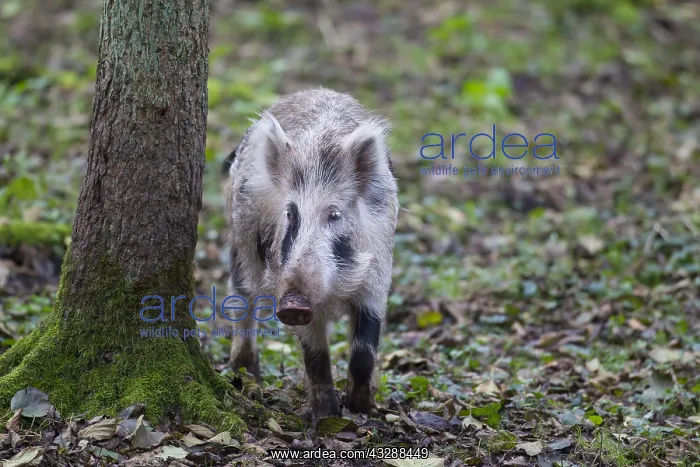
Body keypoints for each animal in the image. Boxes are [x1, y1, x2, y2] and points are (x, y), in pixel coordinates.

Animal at [222, 88, 398, 425]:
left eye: (334, 214)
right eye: (291, 214)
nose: (295, 301)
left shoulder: (377, 279)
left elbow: (364, 351)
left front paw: (361, 408)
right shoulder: (283, 286)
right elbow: (315, 356)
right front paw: (326, 416)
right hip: (240, 246)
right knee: (241, 301)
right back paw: (244, 374)